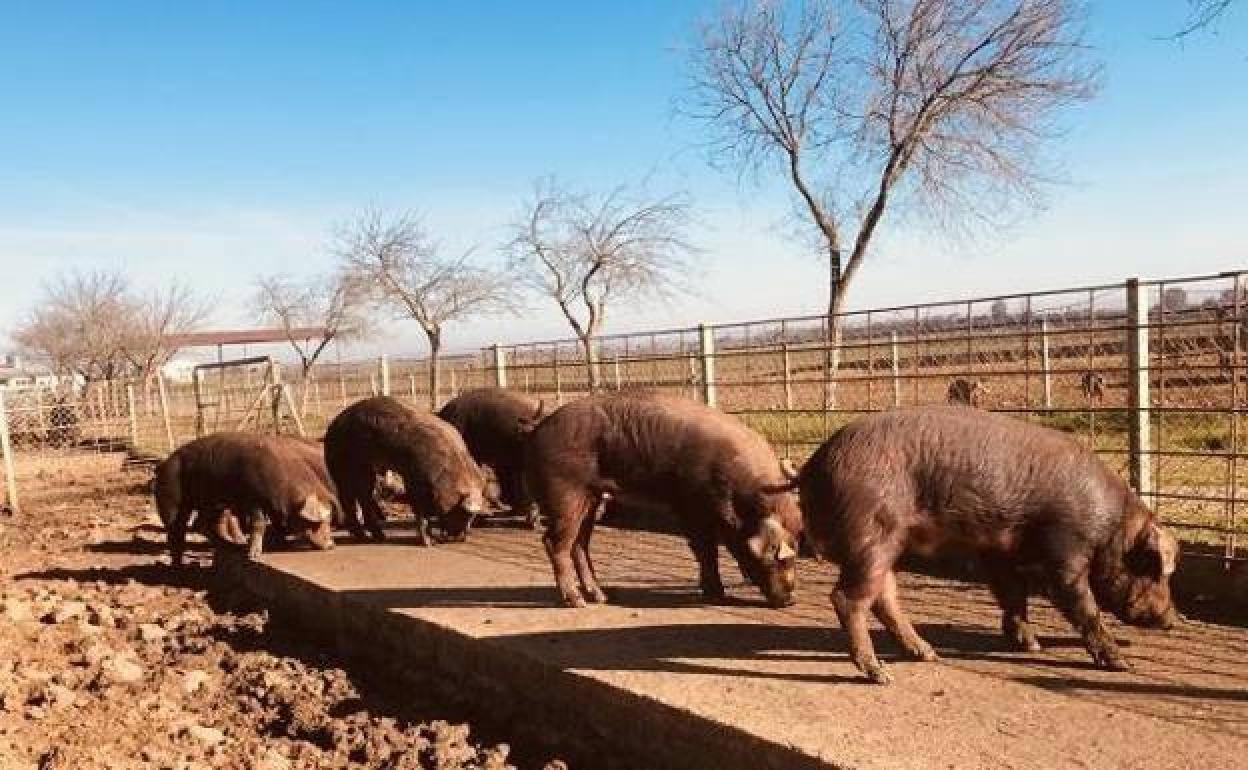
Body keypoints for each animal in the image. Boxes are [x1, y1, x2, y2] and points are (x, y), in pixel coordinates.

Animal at [156, 431, 341, 564]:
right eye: (316, 523)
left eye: (329, 519)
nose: (331, 545)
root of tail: (162, 465)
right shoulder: (252, 499)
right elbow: (258, 524)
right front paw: (254, 556)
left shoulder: (272, 506)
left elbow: (276, 524)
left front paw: (282, 543)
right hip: (171, 498)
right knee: (176, 531)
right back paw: (179, 568)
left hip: (213, 504)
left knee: (202, 525)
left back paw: (234, 546)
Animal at [524, 394, 798, 609]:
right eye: (774, 556)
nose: (789, 601)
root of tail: (538, 429)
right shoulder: (691, 506)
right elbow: (705, 550)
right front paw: (717, 595)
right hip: (564, 494)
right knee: (554, 542)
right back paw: (575, 601)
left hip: (591, 499)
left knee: (580, 544)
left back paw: (600, 597)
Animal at [788, 404, 1178, 683]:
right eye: (1153, 567)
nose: (1172, 619)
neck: (1112, 527)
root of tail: (814, 464)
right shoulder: (1064, 549)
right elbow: (1081, 604)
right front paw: (1122, 665)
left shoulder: (998, 551)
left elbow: (1013, 593)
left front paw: (1031, 646)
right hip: (872, 536)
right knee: (847, 599)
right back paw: (880, 675)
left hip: (884, 545)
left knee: (885, 598)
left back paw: (927, 654)